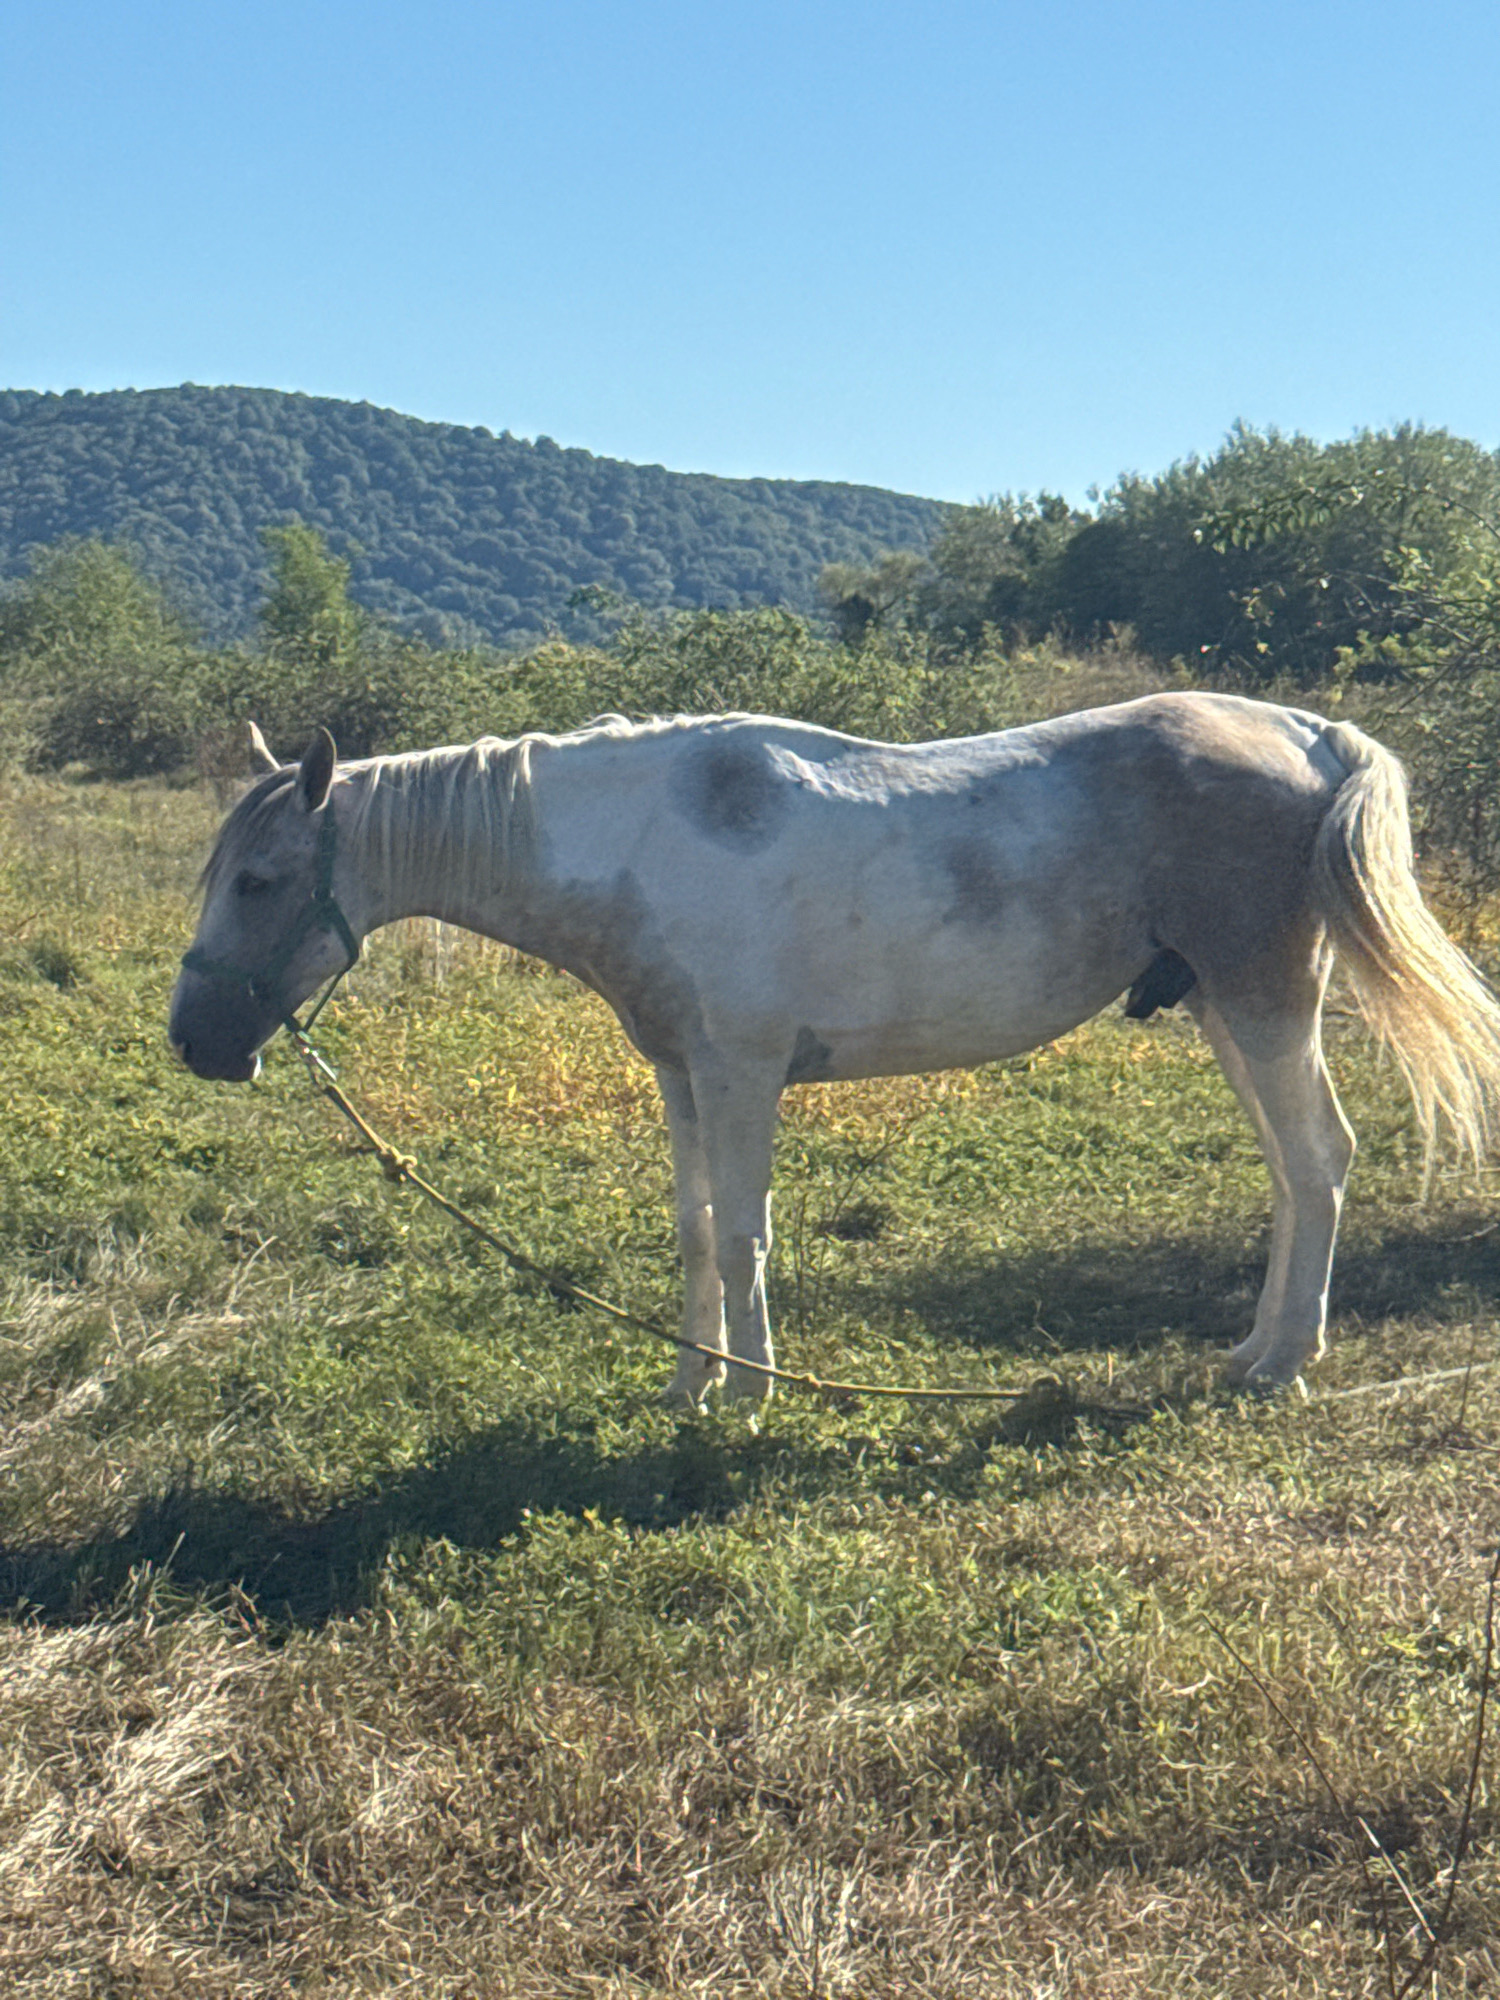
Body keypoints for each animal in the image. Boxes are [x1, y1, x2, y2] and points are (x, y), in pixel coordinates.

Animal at [169, 694, 1500, 1397]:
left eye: (260, 878)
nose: (195, 1041)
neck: (642, 841)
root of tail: (1309, 733)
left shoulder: (743, 1071)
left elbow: (745, 1230)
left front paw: (756, 1386)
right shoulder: (683, 1074)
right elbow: (696, 1225)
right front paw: (692, 1381)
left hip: (1265, 1001)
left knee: (1319, 1161)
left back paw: (1284, 1361)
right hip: (1226, 1007)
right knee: (1290, 1171)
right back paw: (1251, 1346)